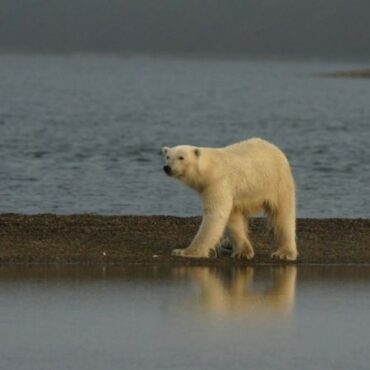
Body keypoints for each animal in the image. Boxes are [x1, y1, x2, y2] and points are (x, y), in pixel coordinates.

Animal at [162, 137, 298, 262]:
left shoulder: (218, 183)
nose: (167, 168)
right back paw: (227, 243)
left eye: (181, 157)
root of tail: (274, 147)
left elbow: (216, 214)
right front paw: (243, 252)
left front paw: (184, 251)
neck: (209, 169)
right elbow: (233, 218)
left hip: (276, 181)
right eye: (167, 156)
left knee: (282, 214)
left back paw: (284, 253)